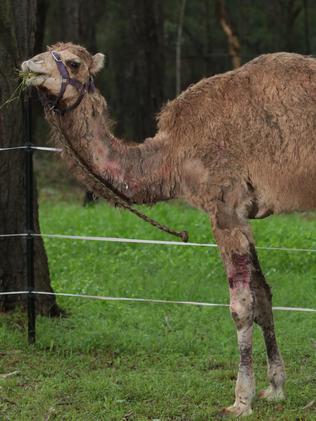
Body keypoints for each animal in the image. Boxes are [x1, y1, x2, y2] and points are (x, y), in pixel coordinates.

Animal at [21, 42, 316, 414]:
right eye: (46, 51)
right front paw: (275, 388)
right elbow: (263, 295)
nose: (29, 65)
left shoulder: (223, 206)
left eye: (73, 63)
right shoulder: (244, 215)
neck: (171, 155)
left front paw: (240, 401)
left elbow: (240, 307)